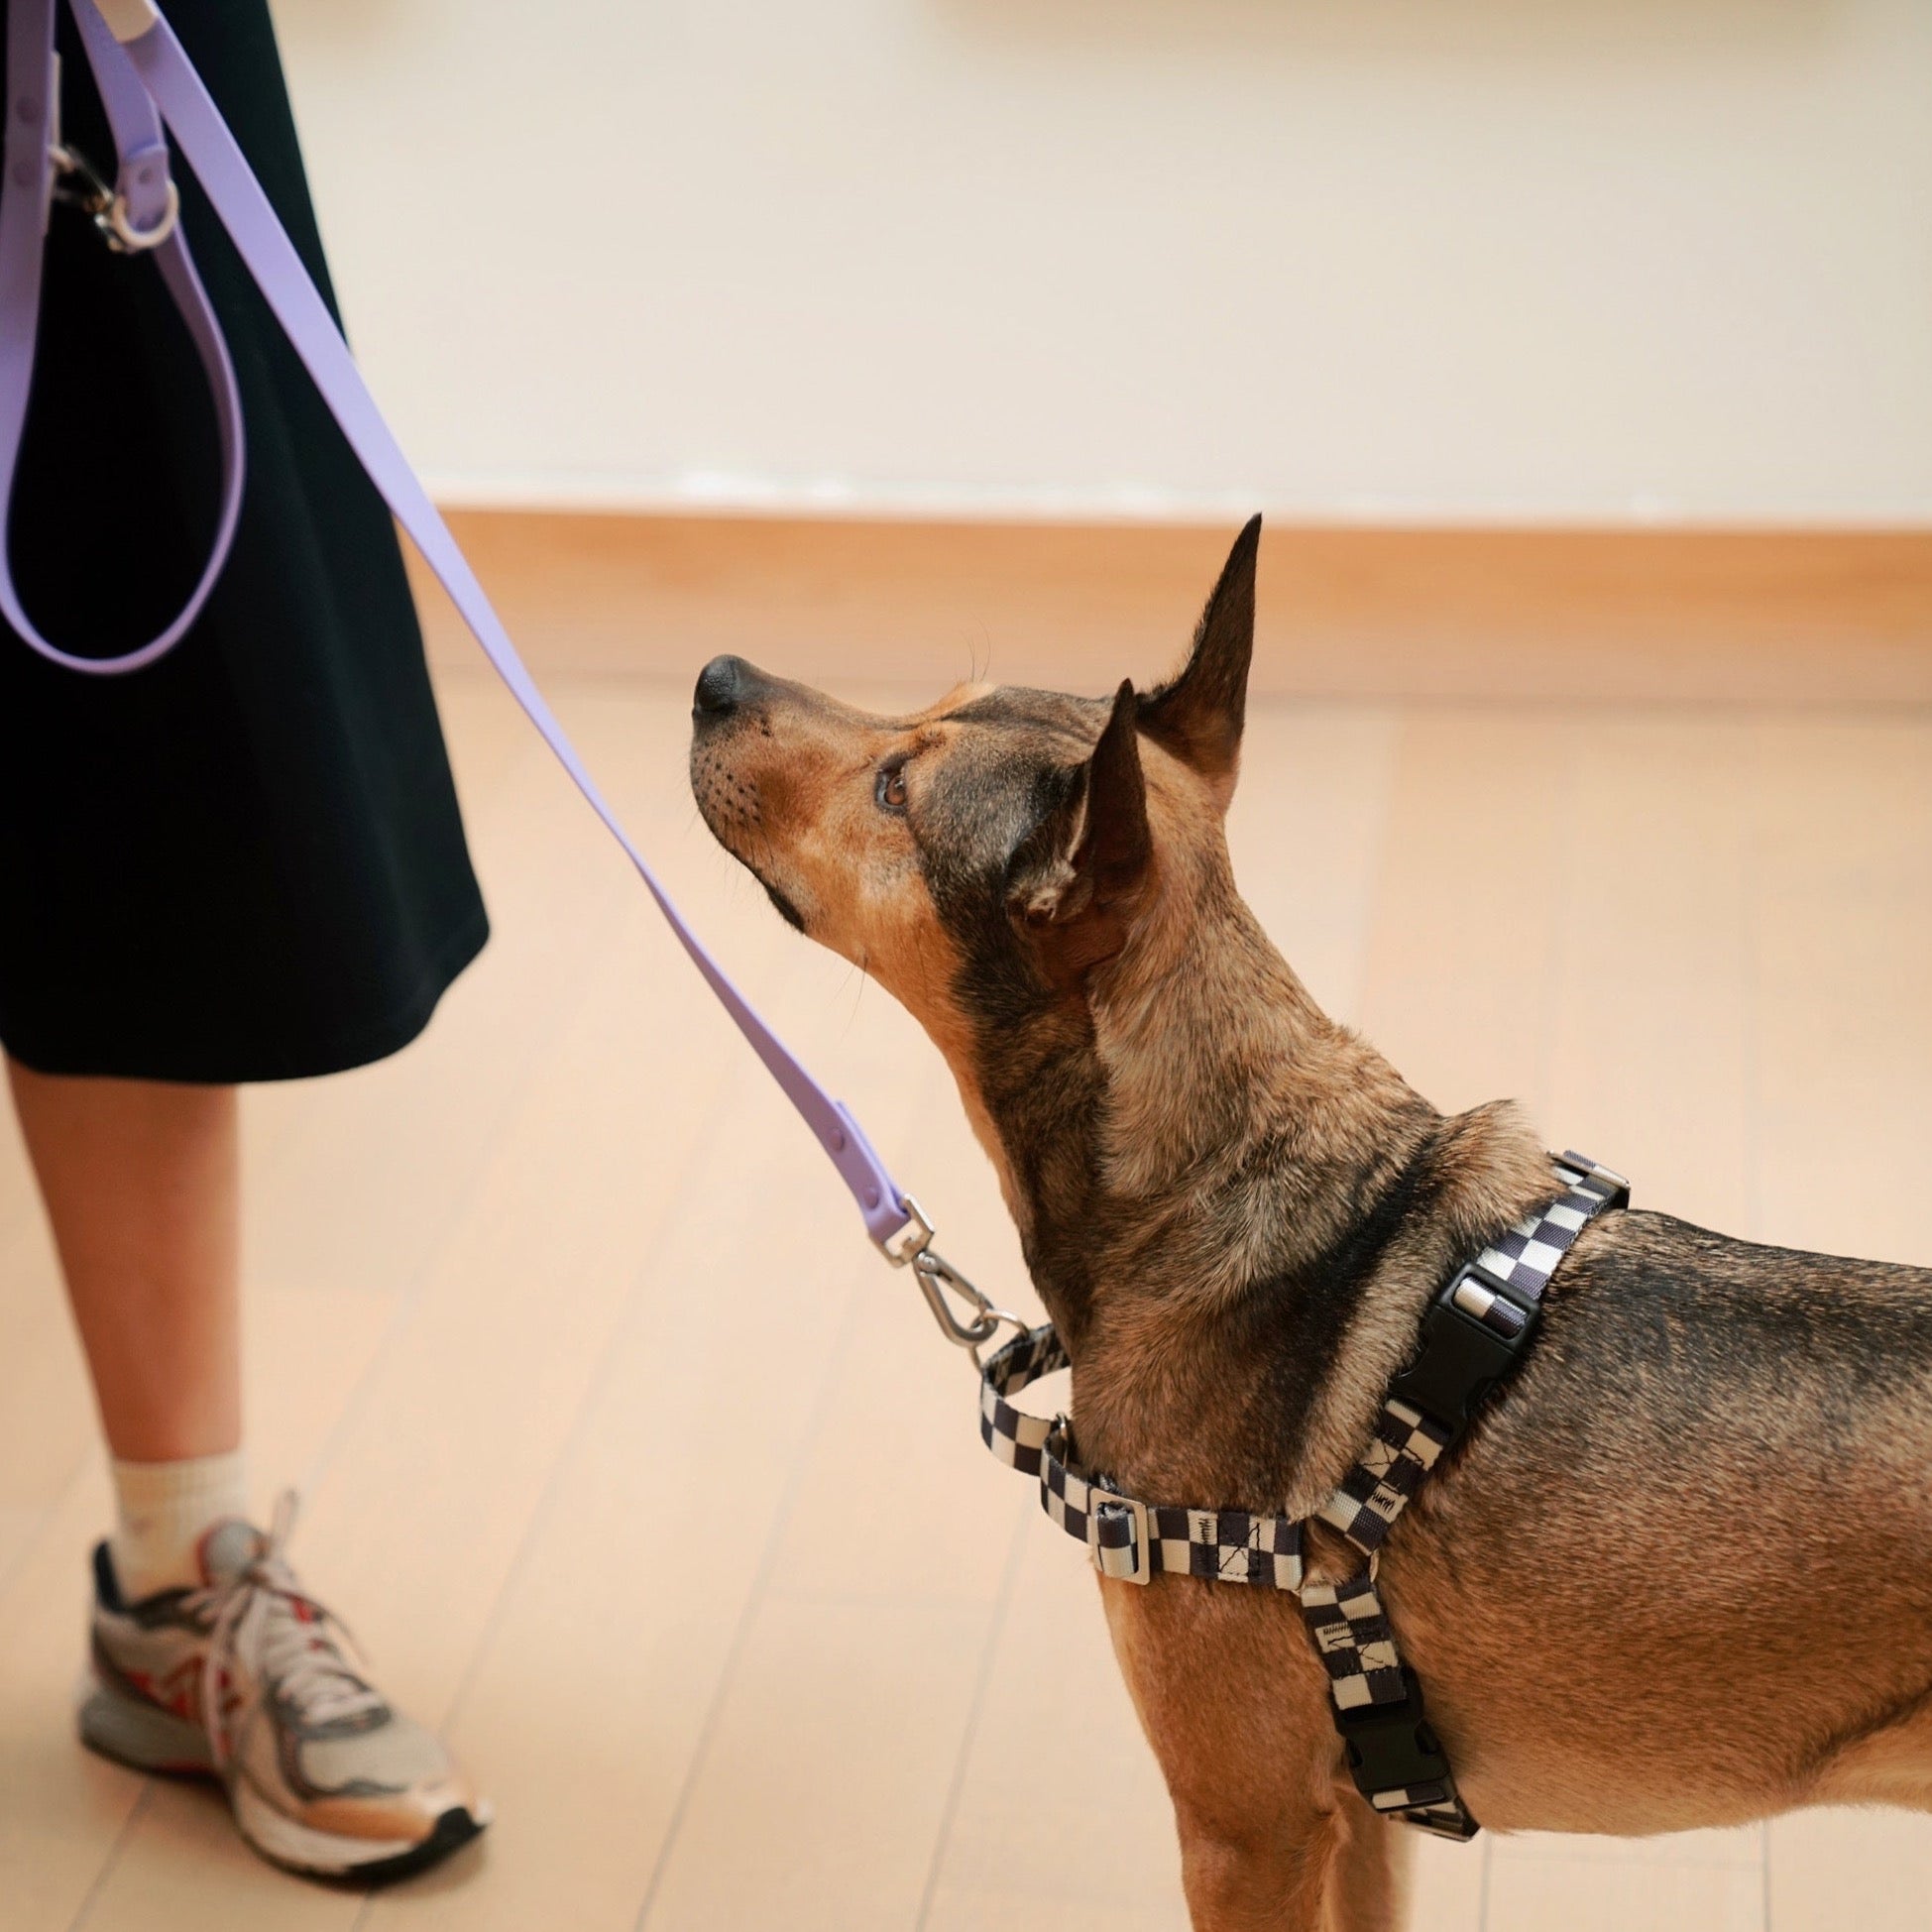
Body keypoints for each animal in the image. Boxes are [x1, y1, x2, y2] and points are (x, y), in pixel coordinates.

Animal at [687, 521, 1924, 1924]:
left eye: (894, 788)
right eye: (924, 710)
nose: (715, 677)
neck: (1219, 1176)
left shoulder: (1245, 1828)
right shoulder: (1361, 1809)